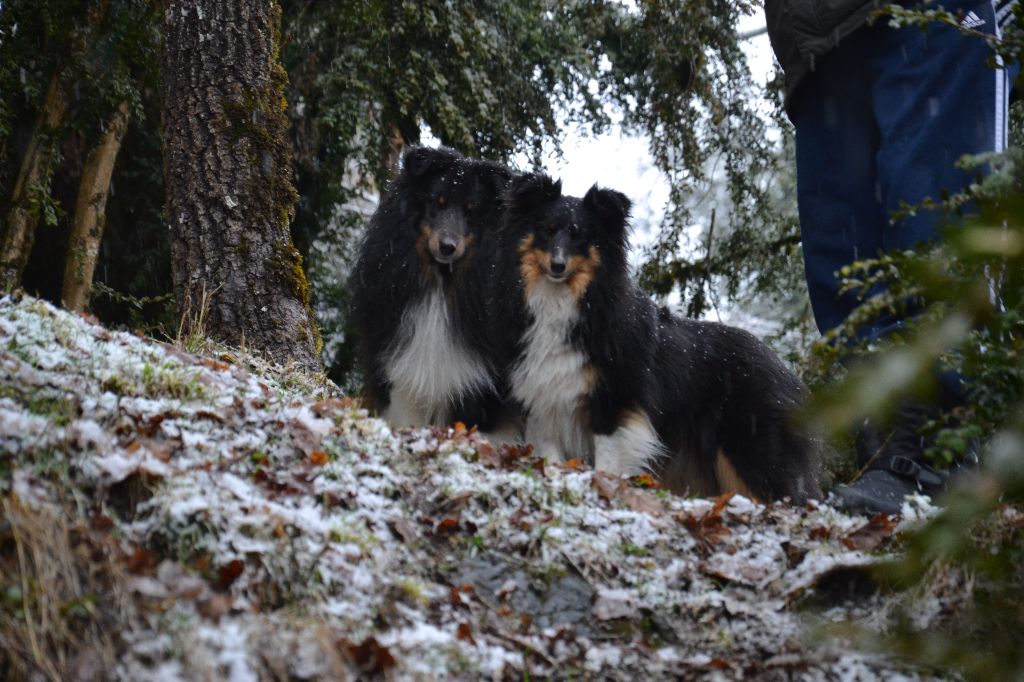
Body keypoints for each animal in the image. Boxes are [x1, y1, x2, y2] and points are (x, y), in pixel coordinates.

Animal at [489, 173, 823, 501]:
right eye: (545, 230)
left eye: (580, 234)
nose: (557, 266)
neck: (566, 301)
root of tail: (783, 367)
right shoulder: (543, 398)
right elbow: (550, 454)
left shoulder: (617, 398)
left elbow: (608, 456)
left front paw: (604, 484)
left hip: (748, 443)